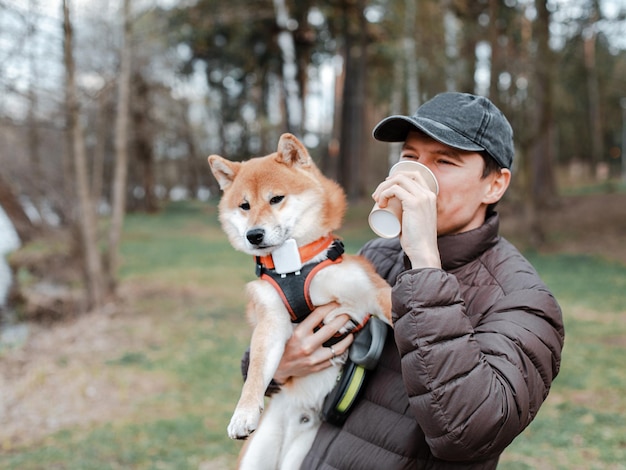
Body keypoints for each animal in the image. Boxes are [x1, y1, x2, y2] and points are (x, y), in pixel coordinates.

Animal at [207, 133, 390, 470]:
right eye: (244, 206)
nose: (254, 234)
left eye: (276, 199)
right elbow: (256, 371)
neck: (294, 265)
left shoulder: (372, 293)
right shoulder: (271, 320)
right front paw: (243, 413)